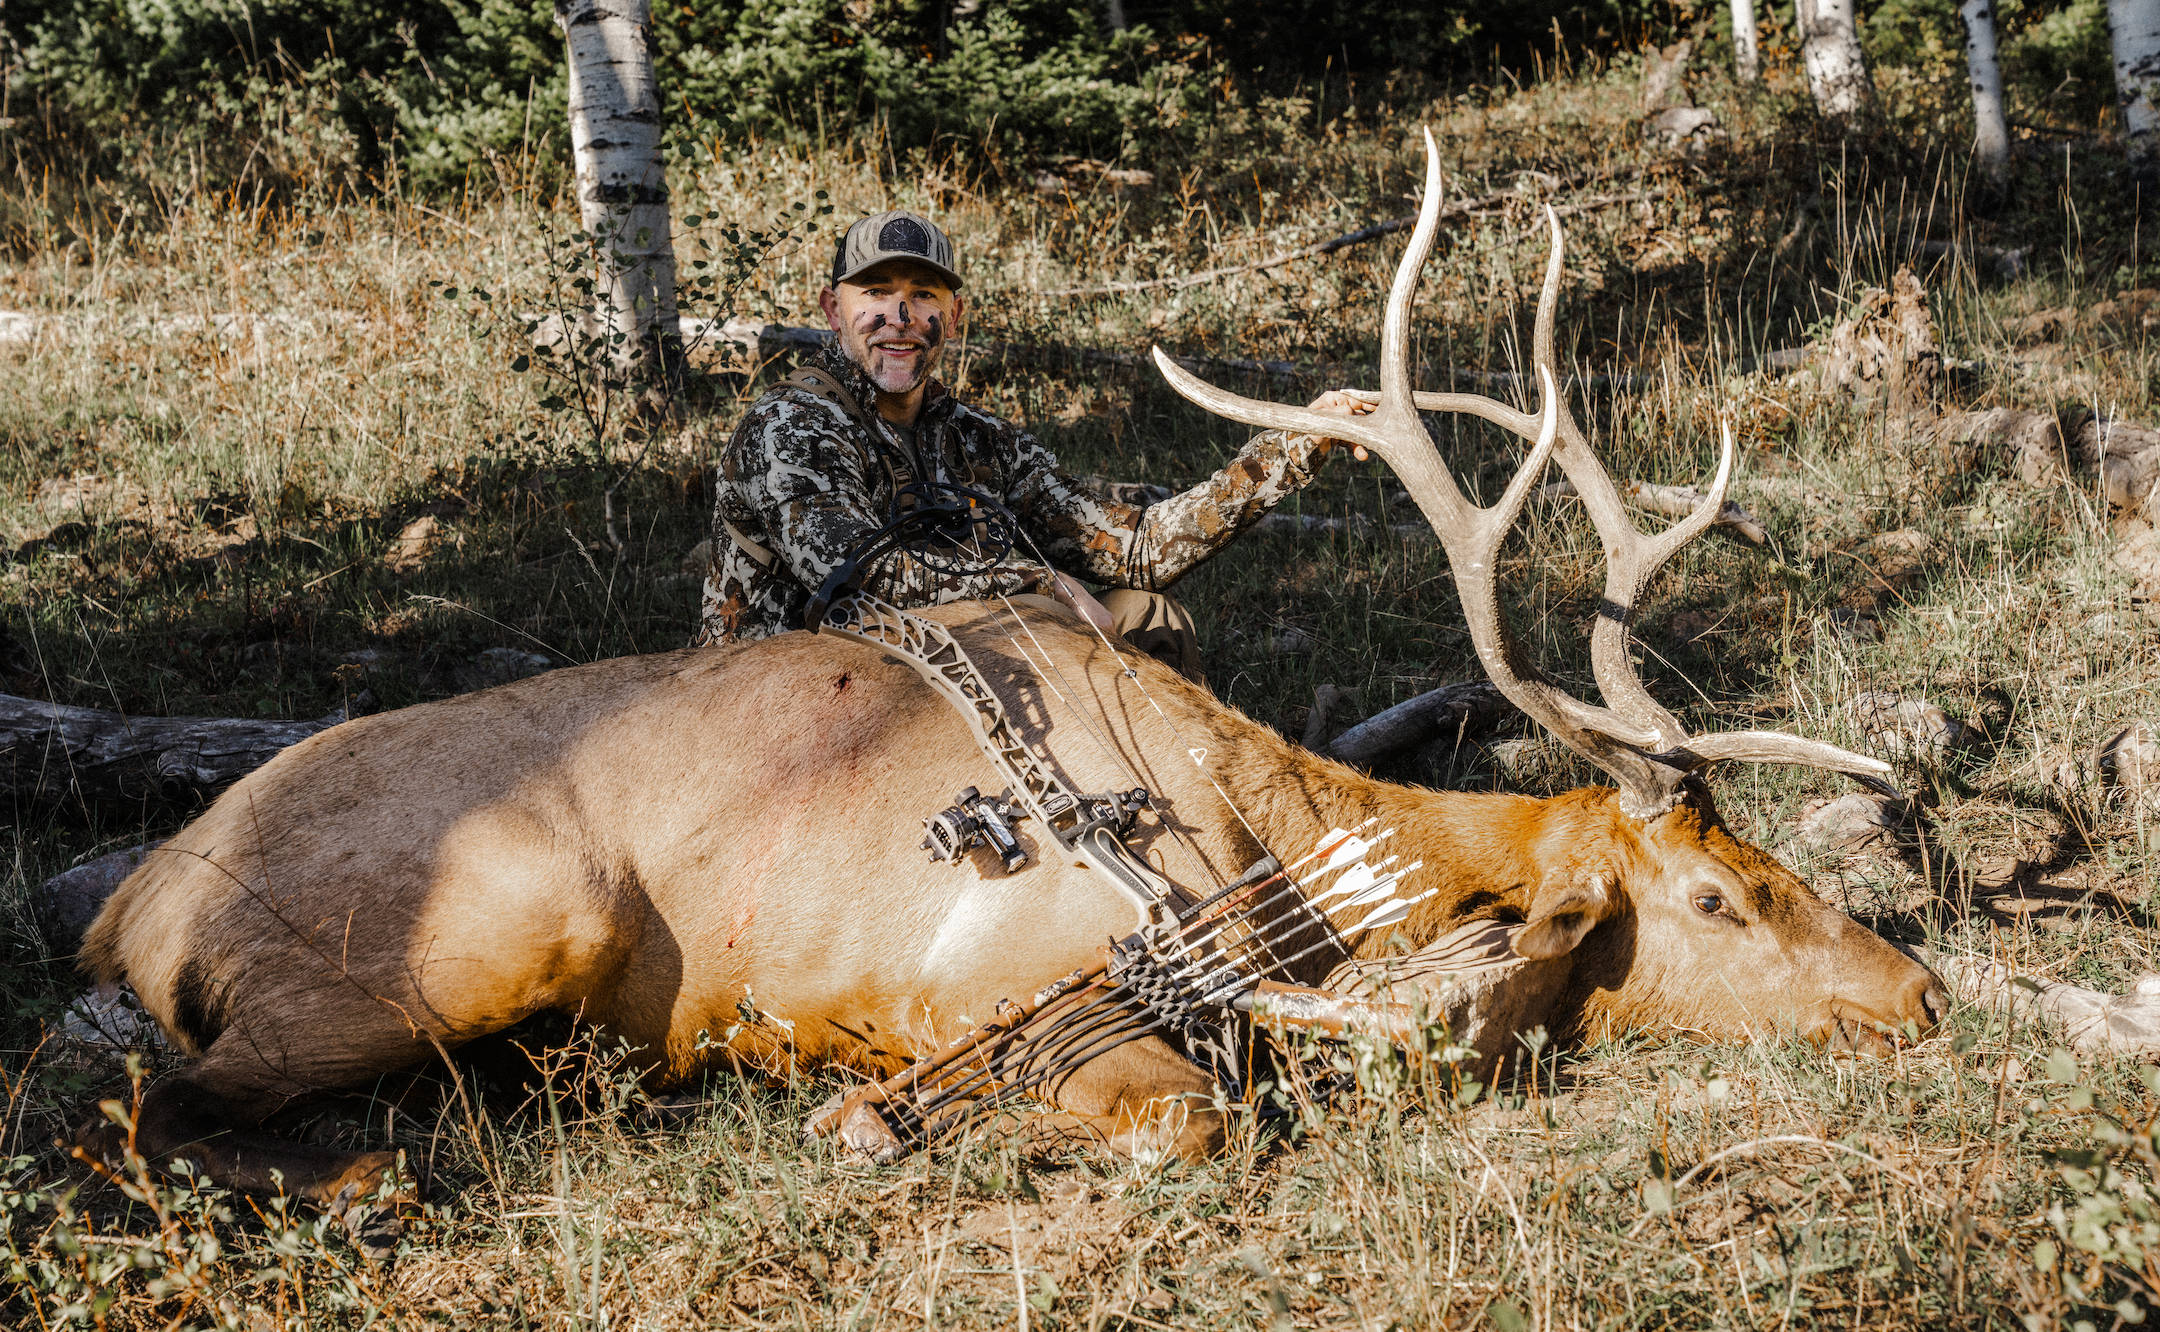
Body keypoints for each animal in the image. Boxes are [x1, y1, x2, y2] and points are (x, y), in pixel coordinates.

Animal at [79, 132, 1944, 1217]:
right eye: (1714, 897)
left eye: (1767, 863)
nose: (1918, 994)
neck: (1272, 851)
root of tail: (134, 906)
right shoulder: (984, 981)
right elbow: (1192, 1118)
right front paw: (871, 1125)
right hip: (496, 922)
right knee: (146, 1101)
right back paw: (379, 1180)